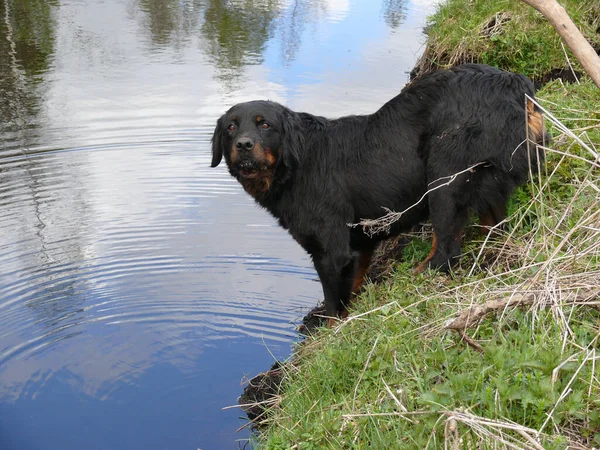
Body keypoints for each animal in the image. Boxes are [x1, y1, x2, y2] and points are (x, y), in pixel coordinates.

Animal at [212, 64, 548, 324]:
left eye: (265, 125)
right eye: (230, 127)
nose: (243, 144)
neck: (298, 163)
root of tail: (514, 84)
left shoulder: (331, 250)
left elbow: (334, 303)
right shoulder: (360, 243)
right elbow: (355, 283)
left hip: (444, 177)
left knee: (447, 249)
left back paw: (418, 279)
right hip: (487, 182)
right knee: (493, 224)